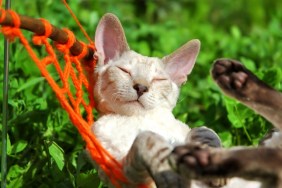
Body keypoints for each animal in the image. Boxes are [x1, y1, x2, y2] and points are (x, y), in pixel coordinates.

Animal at [89, 12, 224, 187]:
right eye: (125, 71)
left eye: (158, 80)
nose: (141, 87)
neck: (143, 119)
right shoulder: (122, 172)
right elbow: (147, 139)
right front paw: (171, 176)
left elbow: (206, 130)